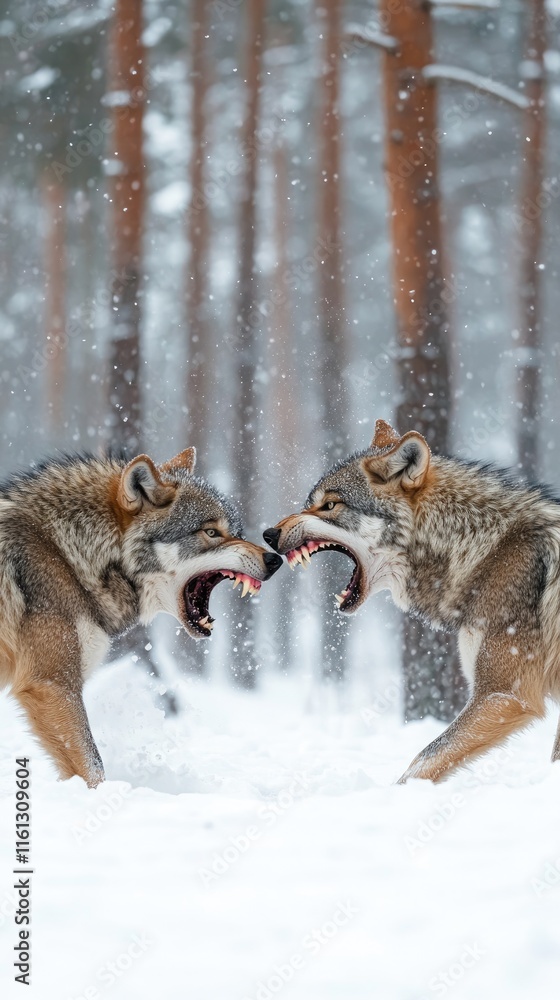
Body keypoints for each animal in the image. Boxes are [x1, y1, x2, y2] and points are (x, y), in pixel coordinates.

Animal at [0, 447, 282, 786]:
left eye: (236, 532)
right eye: (212, 532)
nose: (275, 559)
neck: (67, 554)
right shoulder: (52, 685)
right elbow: (93, 766)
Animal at [264, 418, 560, 783]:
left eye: (329, 505)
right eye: (310, 503)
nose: (268, 534)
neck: (479, 545)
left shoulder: (504, 694)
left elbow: (422, 760)